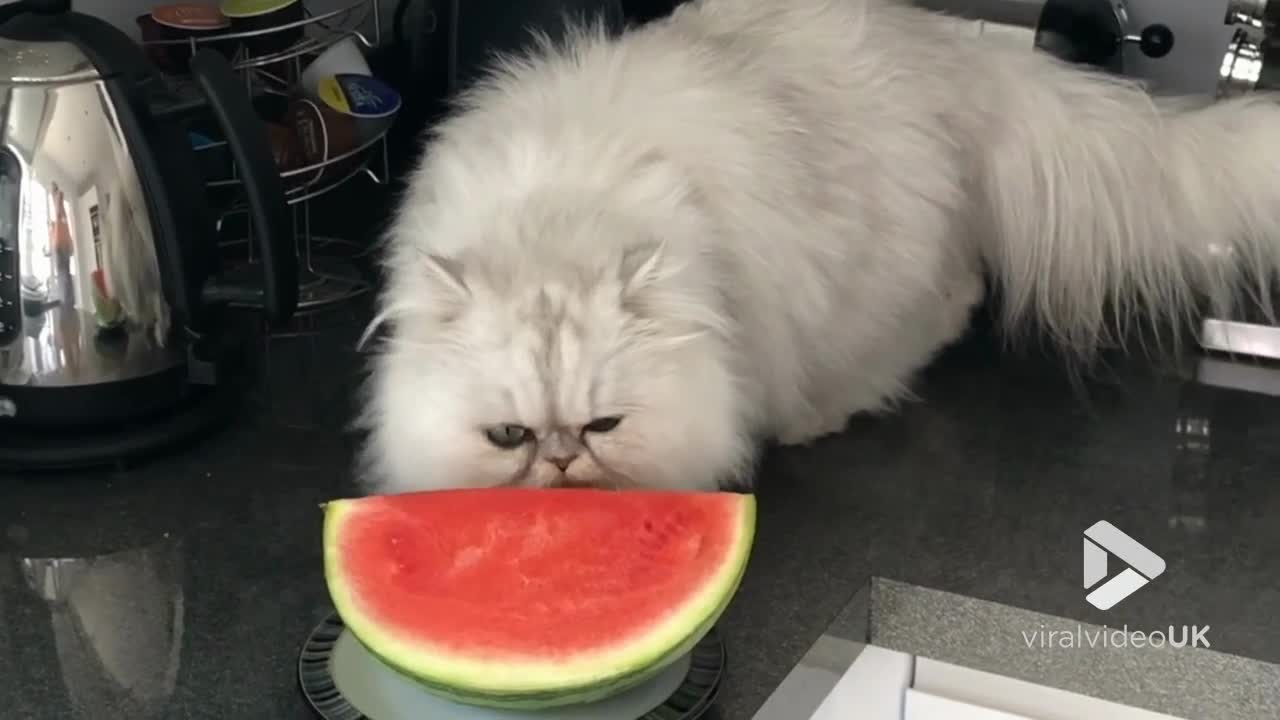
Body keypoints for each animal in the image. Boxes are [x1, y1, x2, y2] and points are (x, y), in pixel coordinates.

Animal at [355, 0, 1280, 489]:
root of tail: (952, 52)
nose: (559, 461)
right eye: (509, 437)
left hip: (874, 278)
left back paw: (815, 416)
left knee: (941, 316)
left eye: (604, 425)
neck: (557, 218)